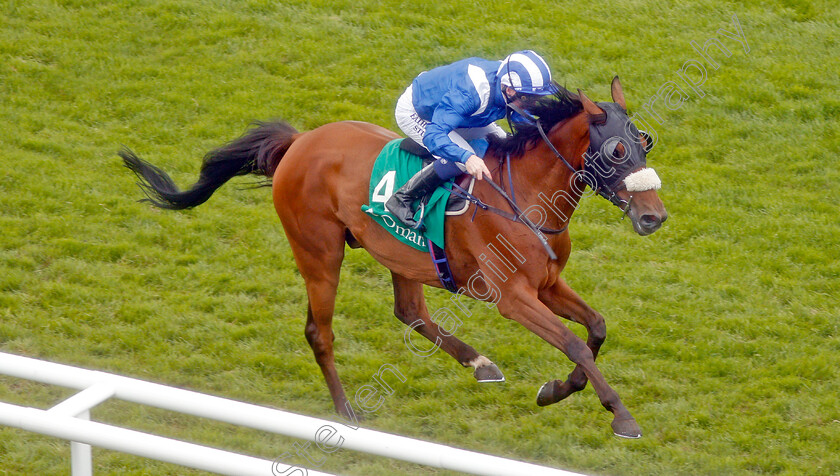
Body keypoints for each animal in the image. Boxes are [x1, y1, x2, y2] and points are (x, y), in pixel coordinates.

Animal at [121, 76, 668, 436]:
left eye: (644, 142)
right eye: (617, 151)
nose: (654, 217)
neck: (527, 196)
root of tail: (300, 142)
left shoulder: (549, 284)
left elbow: (595, 329)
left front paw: (558, 389)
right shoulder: (513, 298)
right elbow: (575, 343)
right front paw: (621, 415)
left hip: (399, 255)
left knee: (411, 313)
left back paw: (480, 363)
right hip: (319, 252)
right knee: (320, 331)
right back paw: (346, 411)